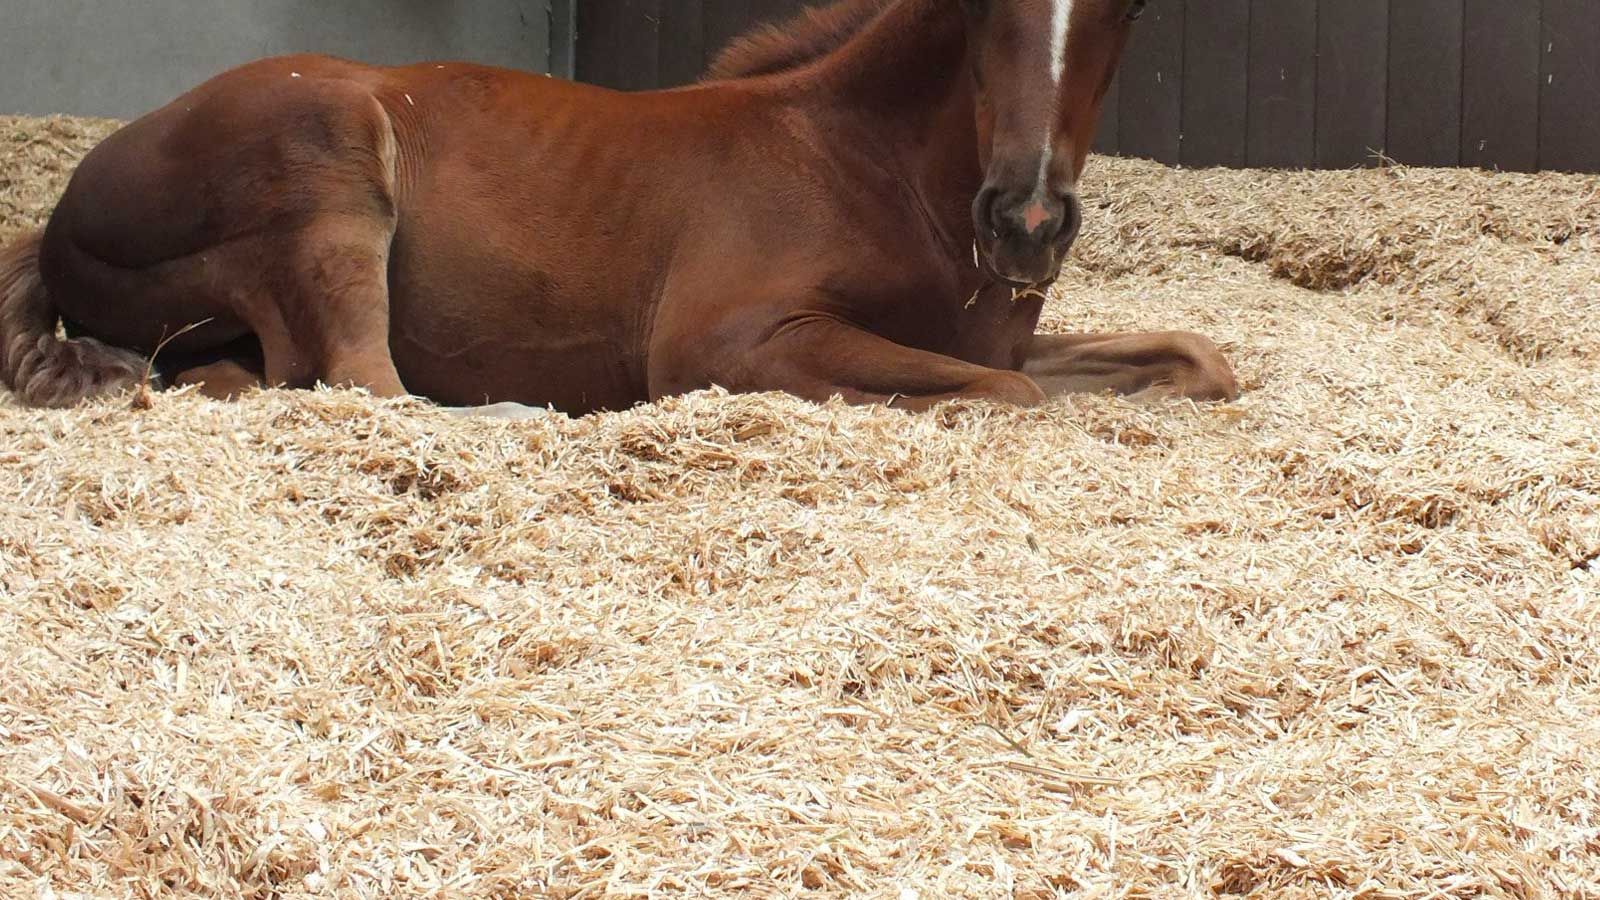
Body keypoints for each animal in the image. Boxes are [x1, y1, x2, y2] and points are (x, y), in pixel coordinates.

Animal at [0, 0, 1237, 414]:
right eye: (980, 8)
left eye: (1130, 6)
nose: (1024, 222)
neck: (867, 164)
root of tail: (56, 225)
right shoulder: (726, 338)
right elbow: (1005, 394)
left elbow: (1195, 360)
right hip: (332, 174)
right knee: (365, 384)